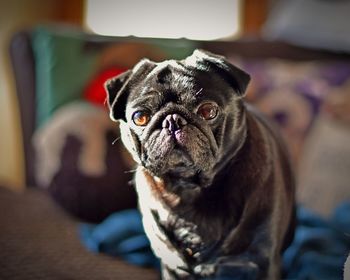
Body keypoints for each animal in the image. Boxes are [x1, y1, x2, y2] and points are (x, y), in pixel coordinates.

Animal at [104, 49, 296, 278]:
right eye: (140, 117)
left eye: (208, 111)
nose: (172, 121)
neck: (188, 188)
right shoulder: (172, 267)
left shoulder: (262, 263)